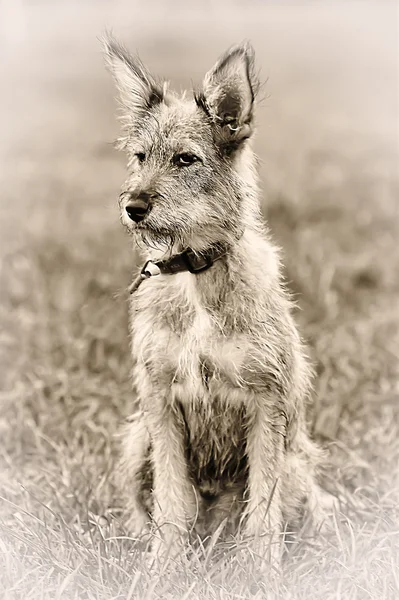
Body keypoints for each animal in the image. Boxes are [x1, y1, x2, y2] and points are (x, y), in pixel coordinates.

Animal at [103, 36, 334, 568]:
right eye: (141, 156)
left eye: (185, 159)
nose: (133, 207)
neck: (196, 276)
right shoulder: (160, 403)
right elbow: (170, 502)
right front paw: (162, 571)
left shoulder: (266, 404)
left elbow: (263, 510)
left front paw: (262, 574)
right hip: (136, 440)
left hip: (298, 463)